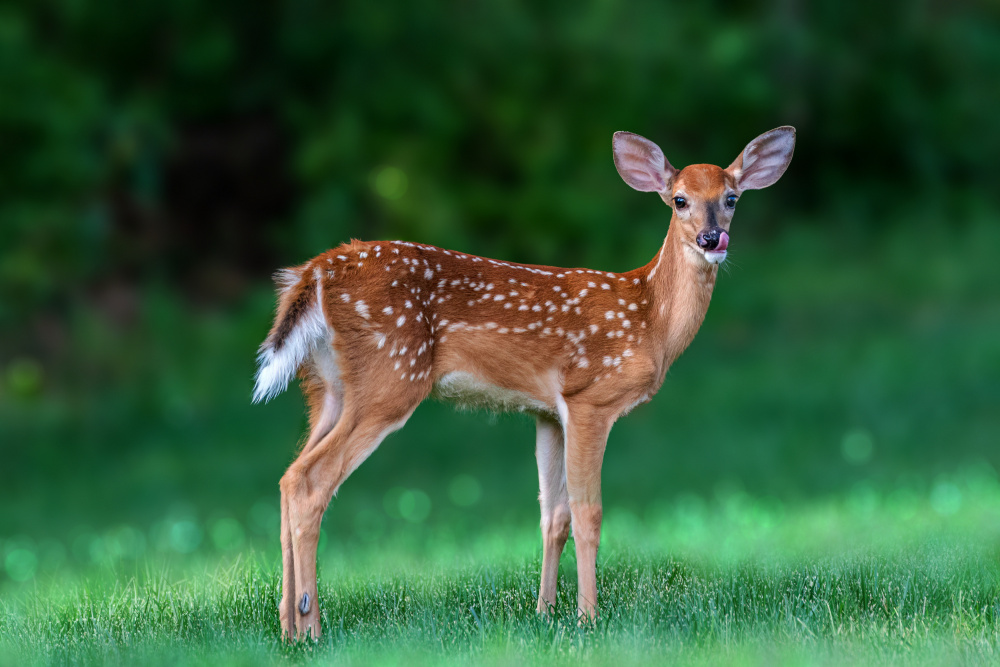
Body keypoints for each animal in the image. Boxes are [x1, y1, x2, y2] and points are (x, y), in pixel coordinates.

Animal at [252, 126, 796, 640]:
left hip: (327, 388)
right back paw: (312, 628)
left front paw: (545, 613)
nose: (712, 239)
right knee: (310, 481)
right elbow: (588, 514)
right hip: (391, 376)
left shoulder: (547, 412)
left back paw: (286, 627)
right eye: (679, 199)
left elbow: (552, 517)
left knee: (286, 477)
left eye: (732, 198)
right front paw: (589, 618)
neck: (650, 321)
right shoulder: (589, 398)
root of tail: (316, 272)